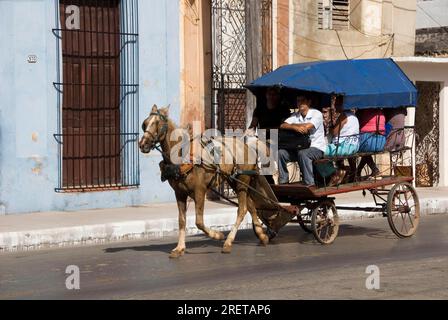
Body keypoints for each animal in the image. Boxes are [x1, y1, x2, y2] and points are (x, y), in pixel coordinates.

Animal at [138, 105, 270, 258]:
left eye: (157, 123)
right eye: (144, 124)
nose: (142, 144)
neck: (183, 155)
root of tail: (247, 146)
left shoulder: (200, 190)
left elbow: (199, 222)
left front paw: (217, 235)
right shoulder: (179, 193)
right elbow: (181, 221)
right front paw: (179, 248)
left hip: (242, 181)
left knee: (242, 210)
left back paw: (228, 242)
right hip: (235, 182)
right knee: (251, 206)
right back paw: (262, 236)